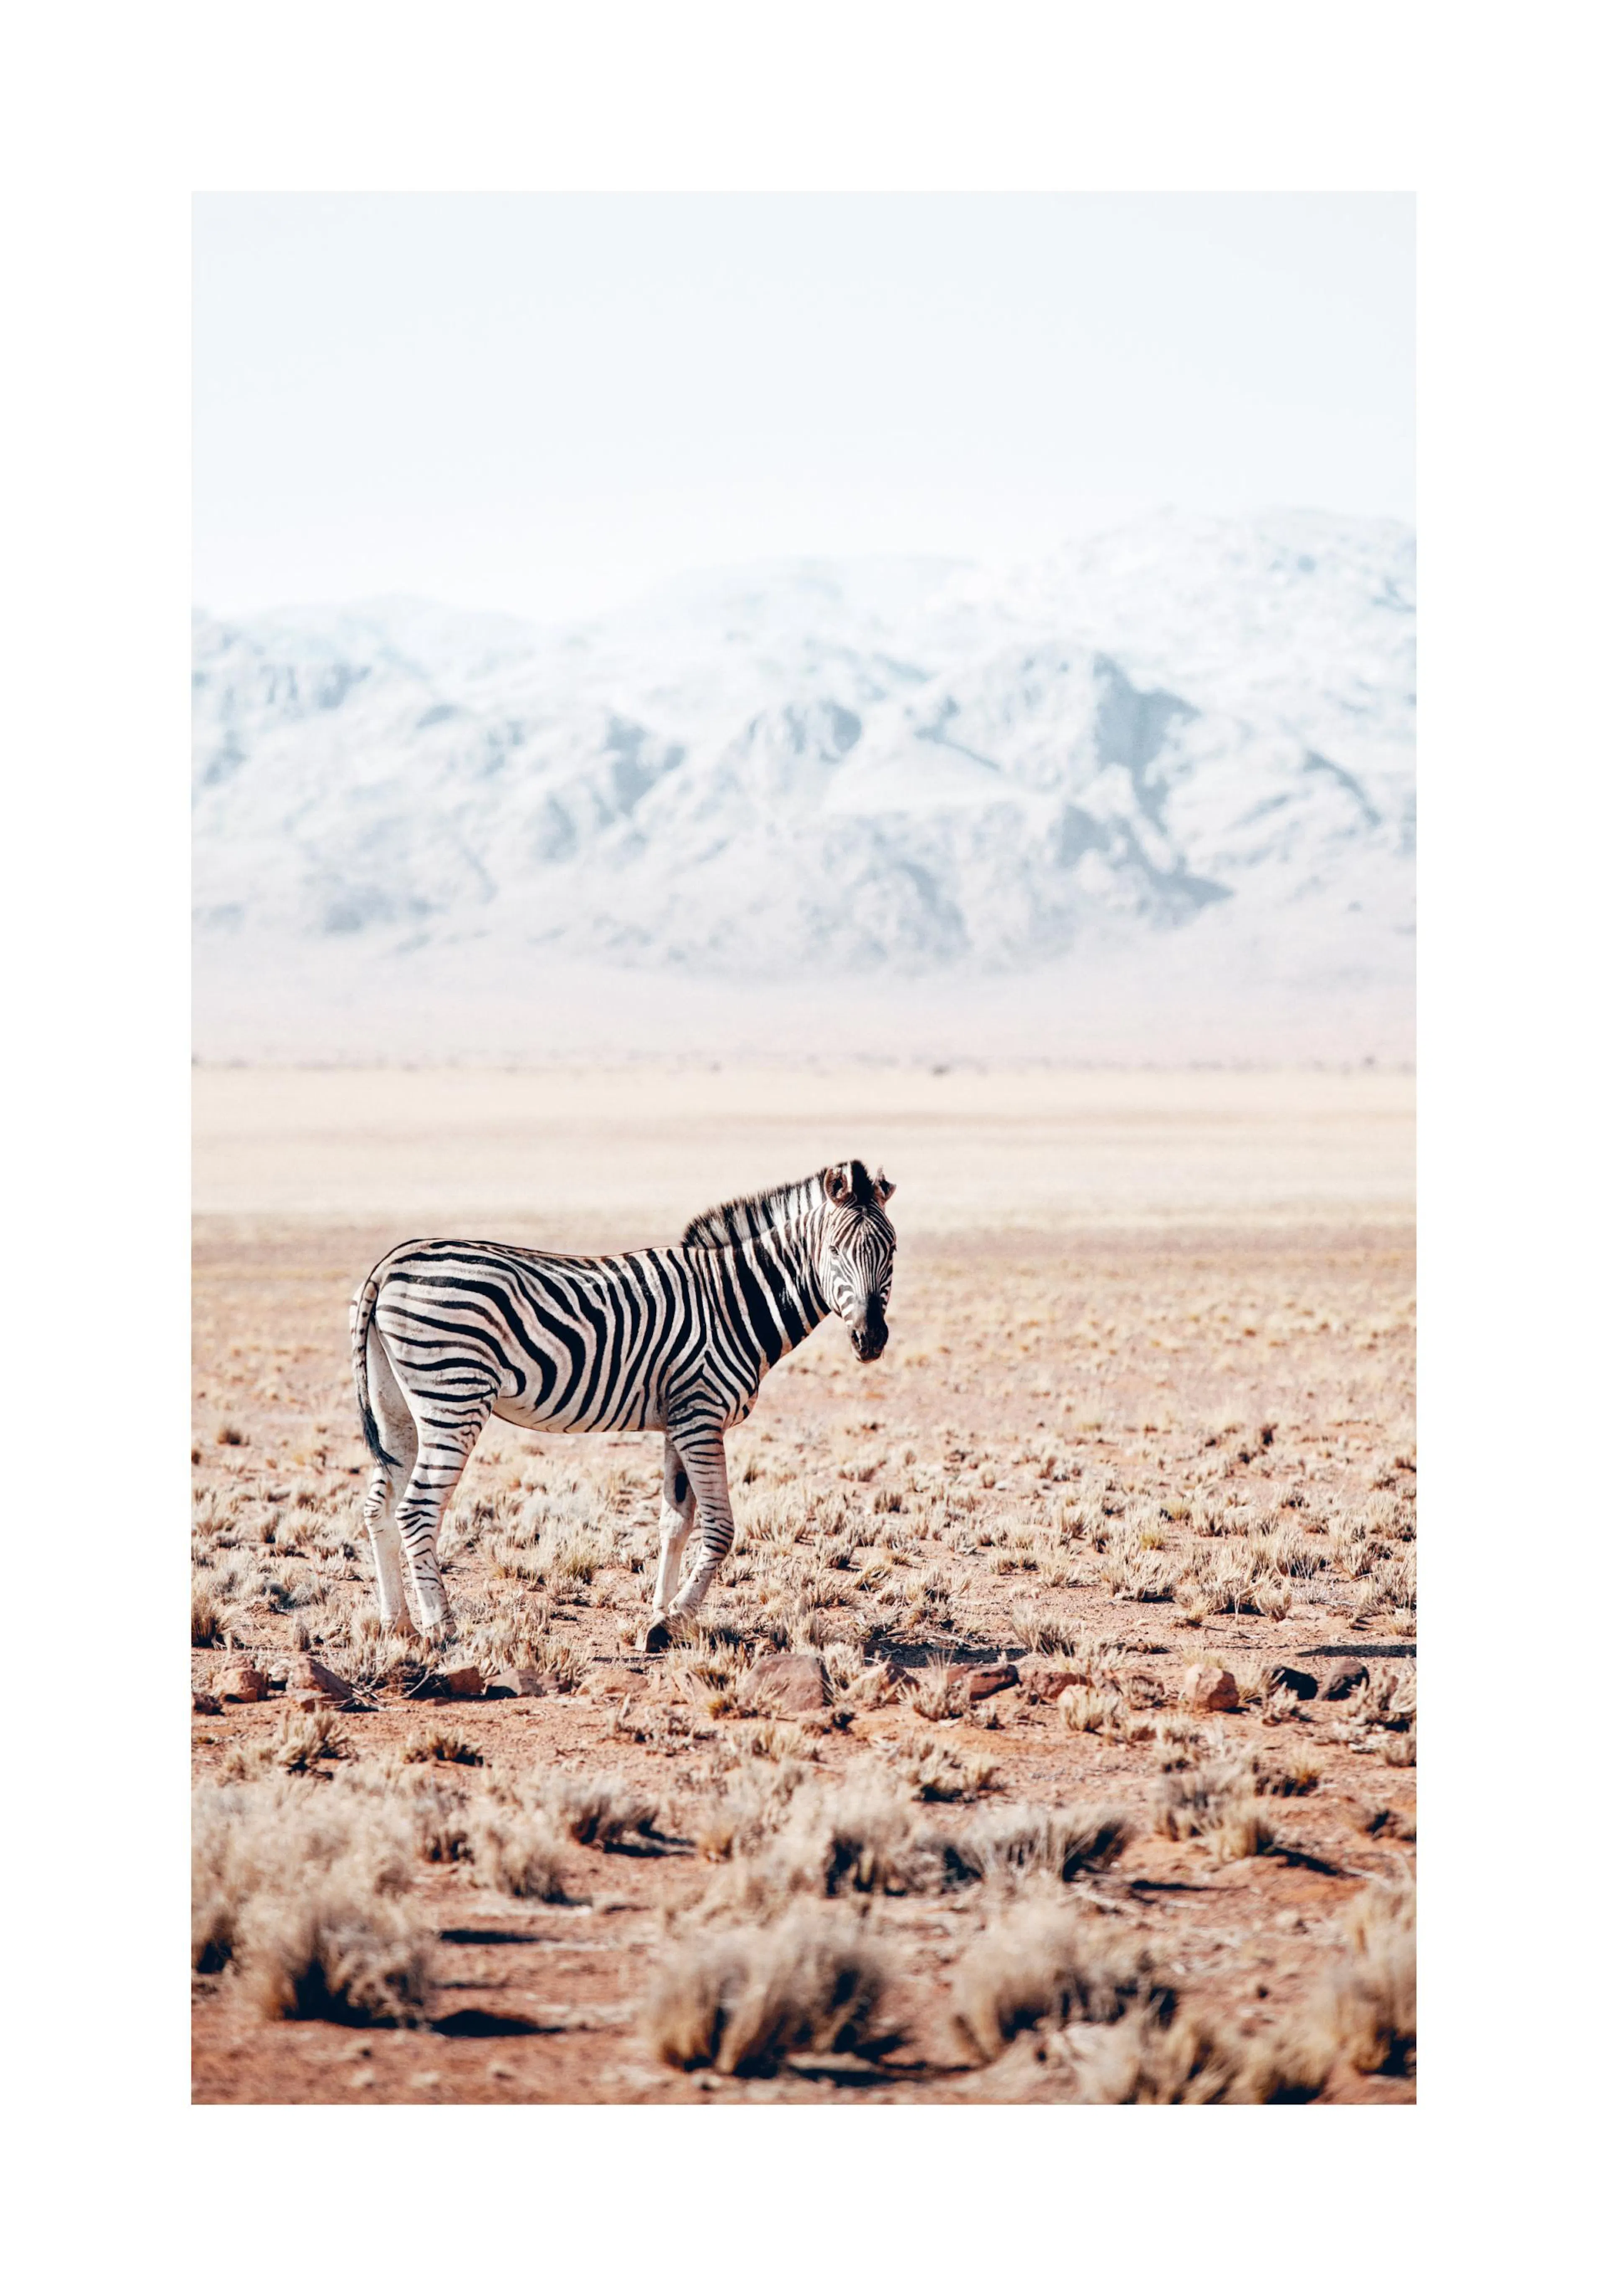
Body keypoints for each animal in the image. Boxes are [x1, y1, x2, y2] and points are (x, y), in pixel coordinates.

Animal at [349, 1158, 897, 1652]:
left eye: (891, 1251)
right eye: (835, 1251)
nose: (870, 1339)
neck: (733, 1302)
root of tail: (395, 1262)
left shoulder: (680, 1420)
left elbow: (675, 1522)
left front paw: (659, 1615)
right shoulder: (702, 1415)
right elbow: (720, 1527)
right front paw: (675, 1620)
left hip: (396, 1409)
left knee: (379, 1506)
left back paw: (397, 1624)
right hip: (454, 1397)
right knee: (417, 1510)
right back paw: (442, 1629)